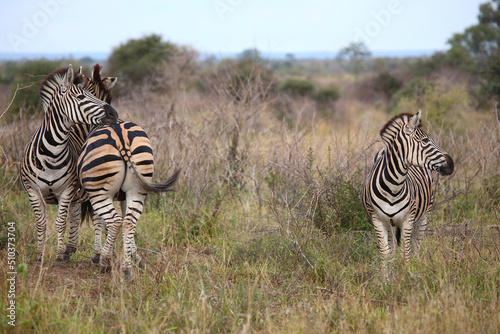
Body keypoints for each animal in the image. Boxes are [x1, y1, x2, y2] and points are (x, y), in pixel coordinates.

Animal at [20, 65, 119, 264]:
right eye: (80, 97)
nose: (114, 114)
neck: (51, 153)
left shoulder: (66, 190)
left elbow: (60, 222)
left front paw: (58, 256)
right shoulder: (33, 191)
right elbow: (41, 224)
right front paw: (40, 256)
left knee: (98, 218)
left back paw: (98, 254)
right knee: (79, 214)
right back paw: (73, 250)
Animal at [77, 100, 181, 280]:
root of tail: (121, 137)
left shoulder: (93, 194)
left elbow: (98, 221)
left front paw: (97, 255)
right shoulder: (125, 196)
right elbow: (127, 222)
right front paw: (135, 257)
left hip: (99, 192)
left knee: (115, 221)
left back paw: (105, 262)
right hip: (137, 187)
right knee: (128, 221)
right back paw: (126, 270)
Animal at [362, 111, 456, 264]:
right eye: (425, 141)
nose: (451, 164)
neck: (392, 188)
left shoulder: (408, 219)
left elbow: (405, 254)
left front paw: (407, 271)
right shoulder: (377, 219)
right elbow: (385, 254)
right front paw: (387, 272)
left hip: (423, 217)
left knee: (416, 248)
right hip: (389, 223)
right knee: (393, 249)